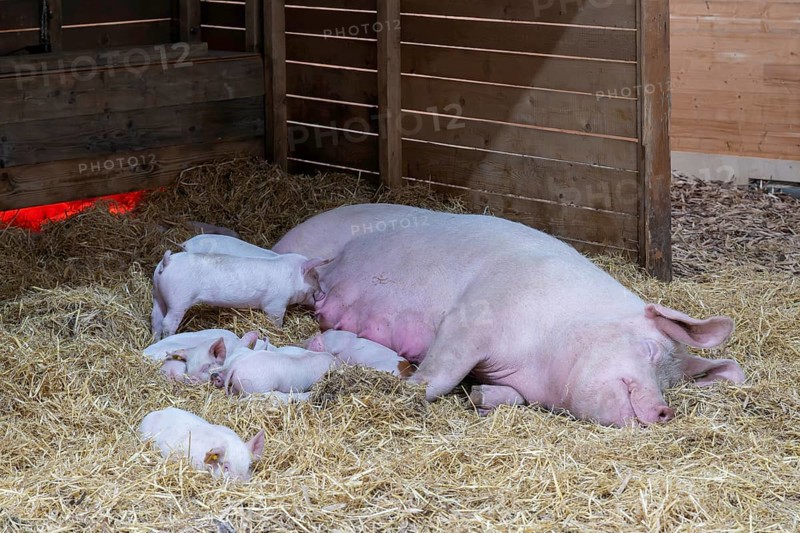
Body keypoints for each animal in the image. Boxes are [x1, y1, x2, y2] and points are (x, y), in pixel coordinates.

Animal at [150, 251, 329, 340]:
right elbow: (276, 320)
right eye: (315, 276)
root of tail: (167, 262)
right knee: (167, 322)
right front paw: (279, 330)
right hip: (179, 299)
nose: (324, 293)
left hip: (158, 294)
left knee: (156, 318)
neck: (292, 278)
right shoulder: (276, 304)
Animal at [273, 203, 745, 427]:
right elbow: (438, 375)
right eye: (650, 350)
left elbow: (506, 396)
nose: (665, 411)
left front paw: (481, 398)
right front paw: (405, 387)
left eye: (672, 382)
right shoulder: (469, 319)